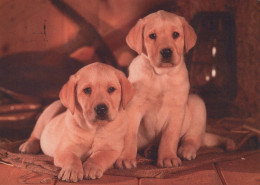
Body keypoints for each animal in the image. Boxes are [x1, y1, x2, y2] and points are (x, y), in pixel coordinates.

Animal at [115, 10, 234, 169]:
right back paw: (151, 149)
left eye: (176, 34)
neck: (161, 76)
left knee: (193, 138)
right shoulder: (134, 108)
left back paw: (185, 150)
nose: (166, 51)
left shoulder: (176, 110)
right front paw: (126, 158)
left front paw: (168, 157)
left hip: (197, 104)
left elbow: (170, 136)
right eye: (152, 36)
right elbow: (130, 135)